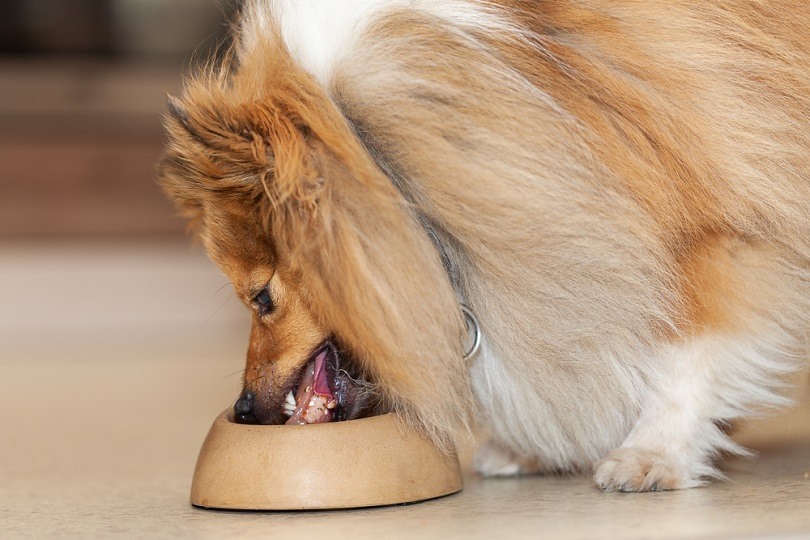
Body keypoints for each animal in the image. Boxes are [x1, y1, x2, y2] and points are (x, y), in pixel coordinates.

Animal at [156, 0, 800, 492]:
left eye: (262, 298)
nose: (243, 410)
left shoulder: (718, 217)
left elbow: (686, 354)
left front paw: (651, 454)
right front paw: (534, 446)